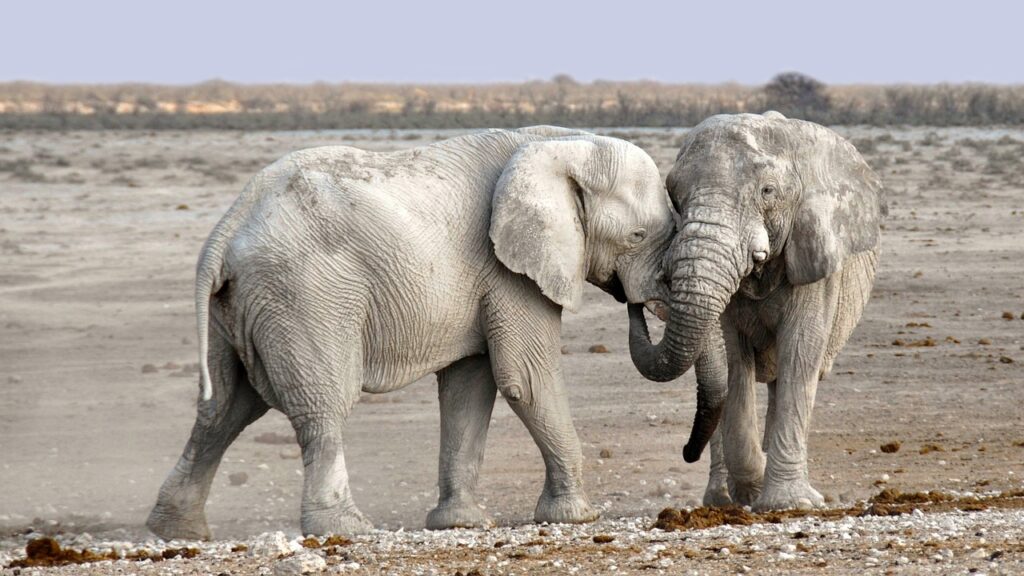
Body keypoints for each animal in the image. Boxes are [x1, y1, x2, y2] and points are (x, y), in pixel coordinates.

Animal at [142, 125, 671, 537]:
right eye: (637, 236)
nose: (636, 304)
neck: (562, 143)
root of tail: (226, 228)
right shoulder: (509, 270)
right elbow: (525, 378)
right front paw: (577, 517)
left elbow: (469, 387)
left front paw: (459, 524)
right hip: (304, 295)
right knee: (321, 405)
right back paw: (348, 528)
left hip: (239, 306)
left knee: (224, 409)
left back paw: (176, 531)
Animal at [626, 111, 884, 506]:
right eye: (675, 196)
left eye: (768, 192)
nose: (636, 301)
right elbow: (733, 360)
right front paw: (755, 487)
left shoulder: (815, 256)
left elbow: (801, 353)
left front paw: (790, 503)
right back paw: (722, 499)